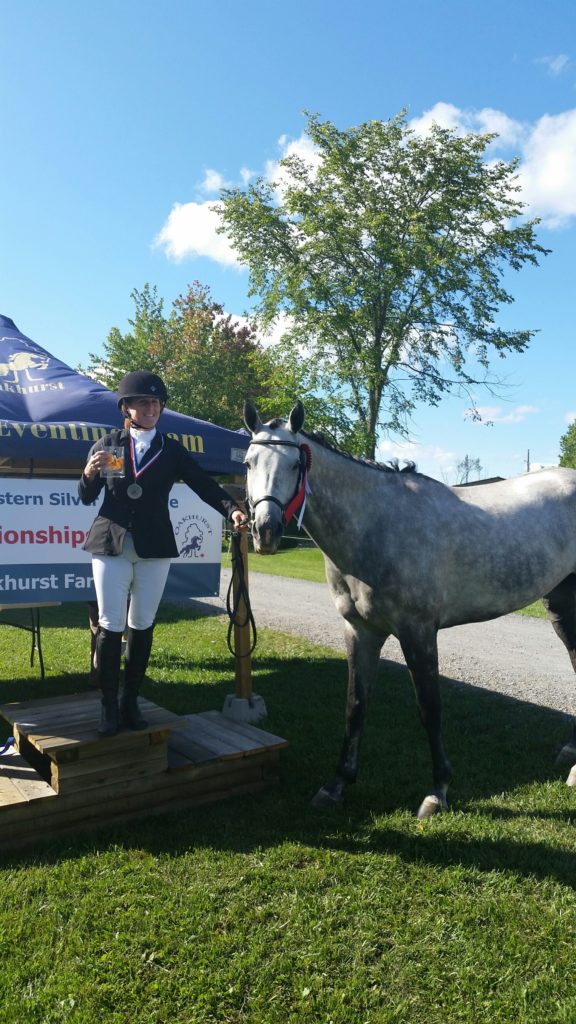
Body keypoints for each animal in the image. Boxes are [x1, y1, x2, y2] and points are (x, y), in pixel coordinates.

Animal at [242, 397, 576, 815]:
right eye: (248, 463)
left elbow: (429, 708)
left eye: (294, 465)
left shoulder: (418, 631)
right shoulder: (360, 630)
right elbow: (355, 706)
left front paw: (438, 791)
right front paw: (336, 784)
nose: (265, 531)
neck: (376, 525)